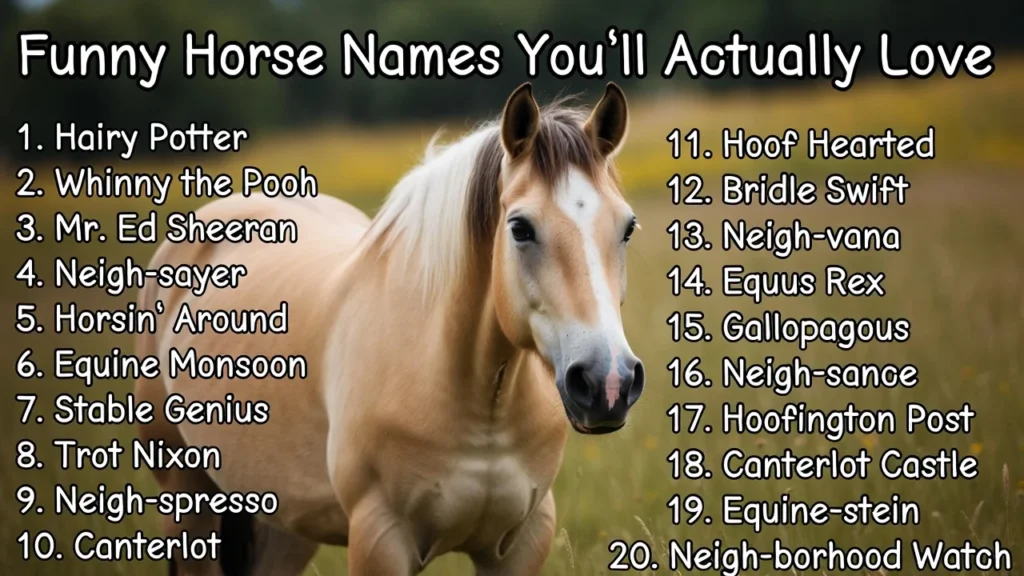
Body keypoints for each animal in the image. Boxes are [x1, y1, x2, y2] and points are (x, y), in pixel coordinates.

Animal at [135, 82, 645, 575]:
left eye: (627, 227)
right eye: (520, 228)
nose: (608, 383)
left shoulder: (522, 543)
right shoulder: (380, 540)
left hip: (285, 522)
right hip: (189, 500)